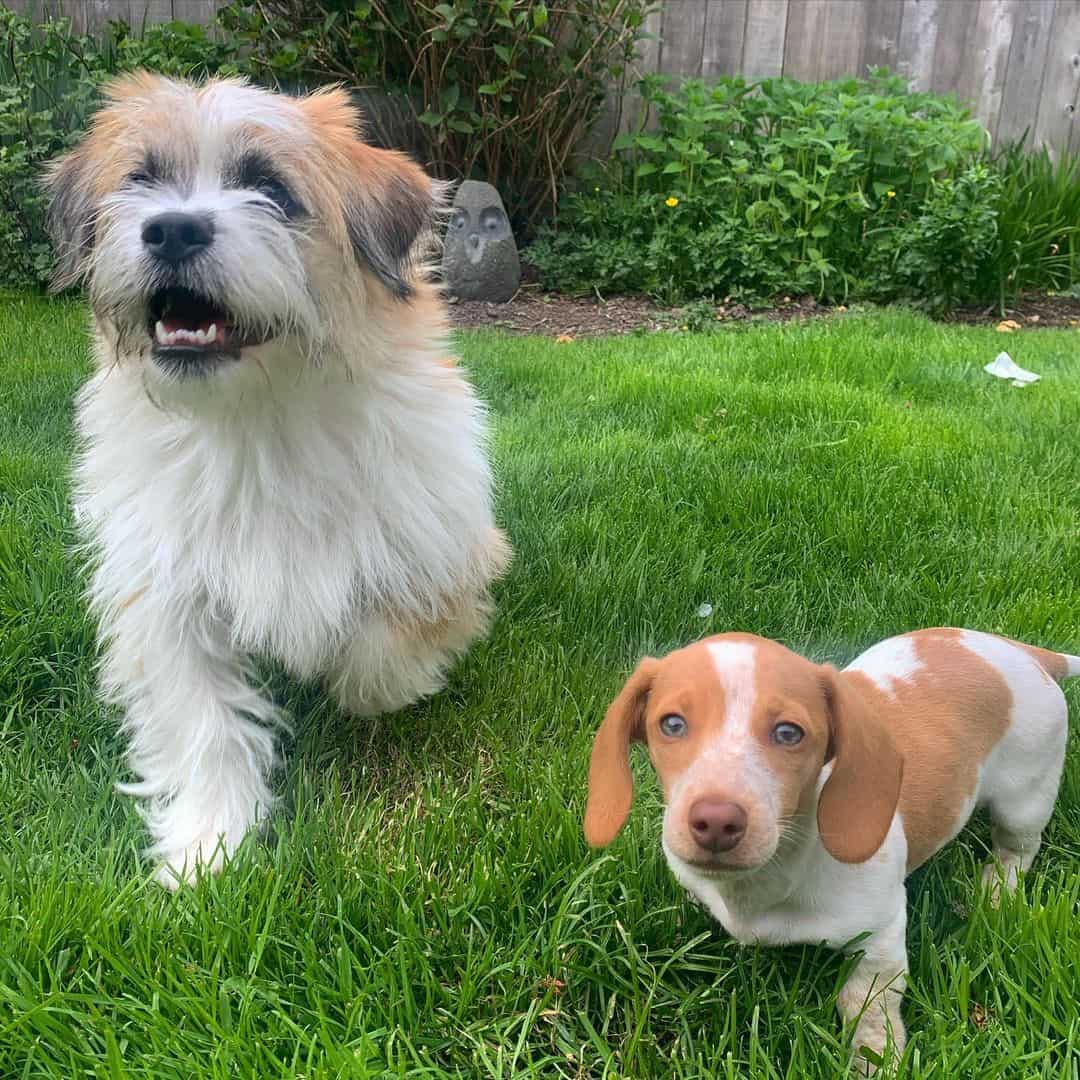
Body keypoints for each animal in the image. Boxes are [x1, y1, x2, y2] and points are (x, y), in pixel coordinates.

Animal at [46, 73, 509, 885]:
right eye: (141, 179)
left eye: (270, 188)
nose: (171, 229)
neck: (258, 422)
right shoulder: (165, 599)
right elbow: (201, 720)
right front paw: (208, 843)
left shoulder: (444, 547)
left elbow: (381, 649)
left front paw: (355, 676)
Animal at [587, 630, 1075, 1071]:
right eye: (672, 724)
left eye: (789, 733)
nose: (716, 822)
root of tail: (1025, 653)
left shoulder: (881, 936)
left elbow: (866, 1004)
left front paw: (877, 1059)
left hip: (1025, 800)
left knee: (1017, 850)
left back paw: (997, 892)